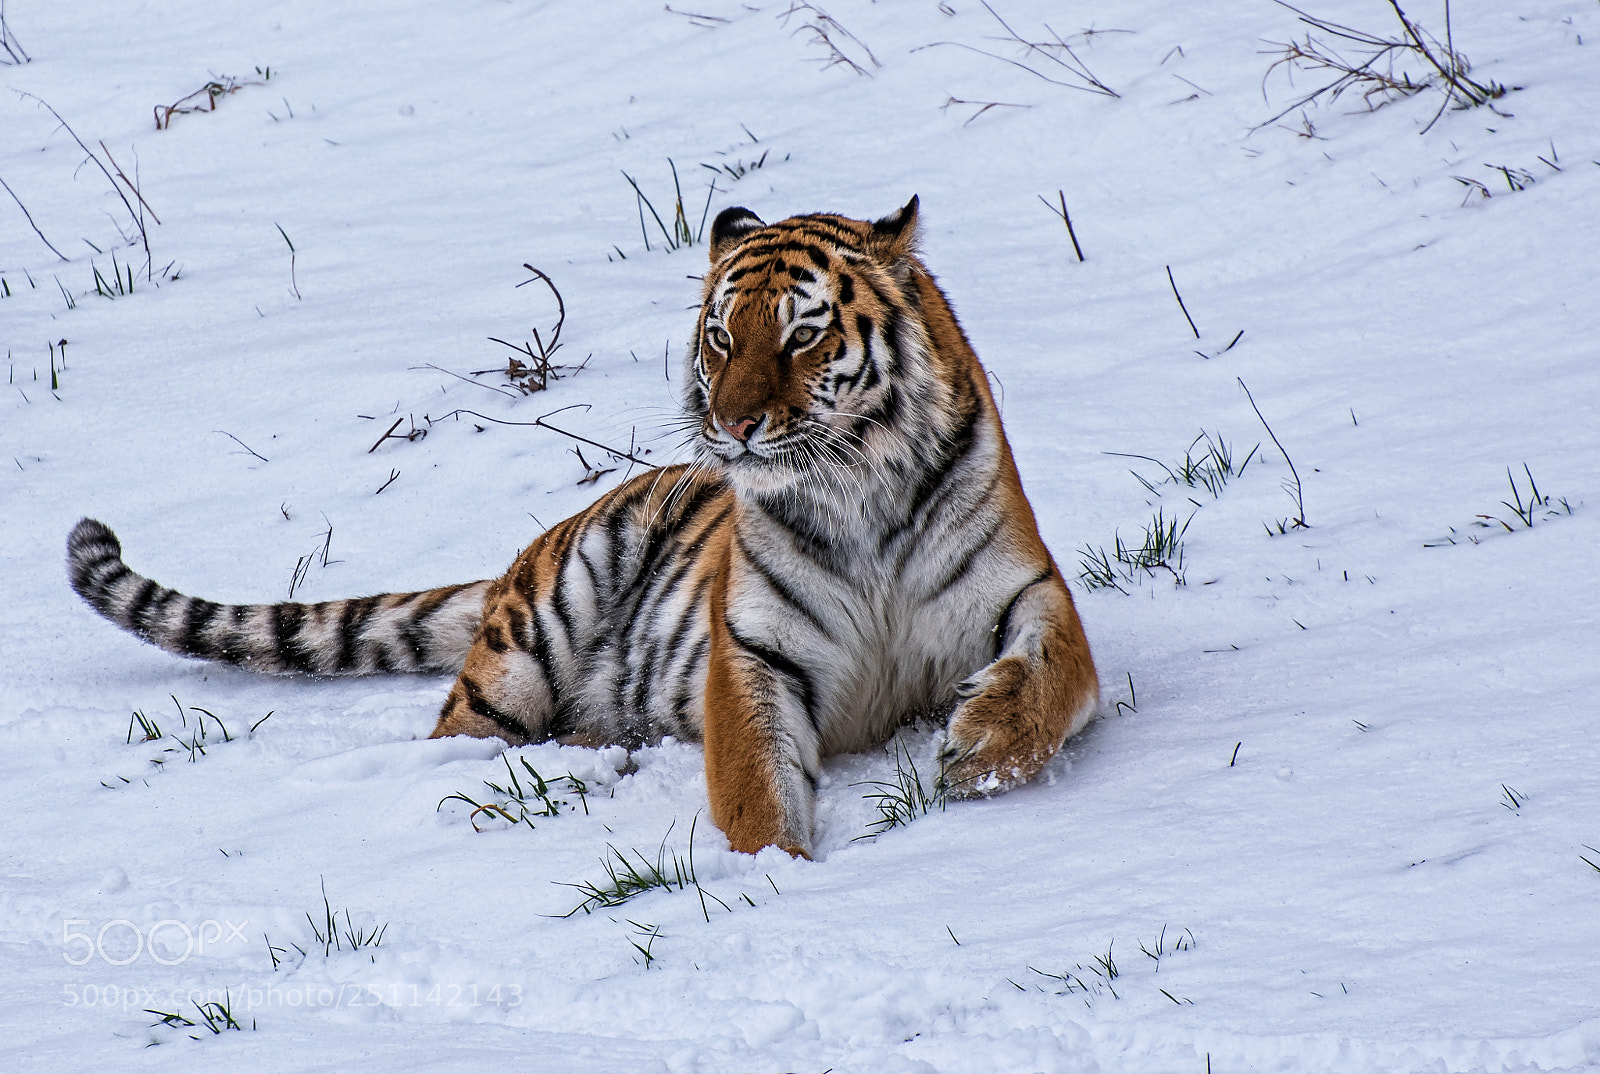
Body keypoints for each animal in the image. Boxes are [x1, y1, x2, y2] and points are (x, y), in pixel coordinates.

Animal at [66, 196, 1100, 858]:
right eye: (722, 336)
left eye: (802, 334)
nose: (731, 425)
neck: (854, 494)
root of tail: (510, 563)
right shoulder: (754, 652)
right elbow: (755, 785)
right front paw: (776, 875)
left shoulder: (1031, 590)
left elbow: (1052, 678)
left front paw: (981, 753)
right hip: (539, 629)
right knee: (456, 738)